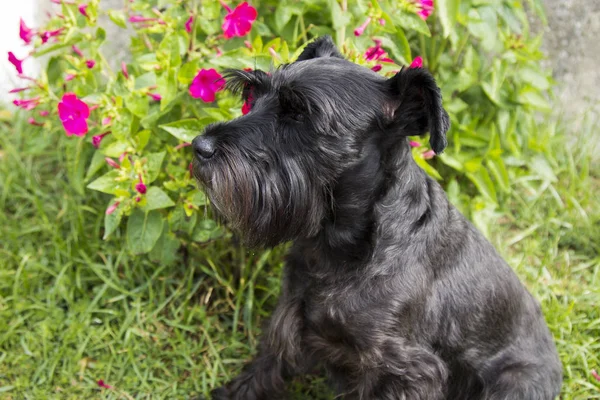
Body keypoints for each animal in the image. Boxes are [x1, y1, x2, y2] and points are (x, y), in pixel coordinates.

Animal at [192, 36, 564, 398]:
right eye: (252, 96)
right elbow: (264, 371)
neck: (340, 241)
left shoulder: (403, 369)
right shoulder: (291, 318)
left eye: (299, 113)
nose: (200, 146)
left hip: (515, 382)